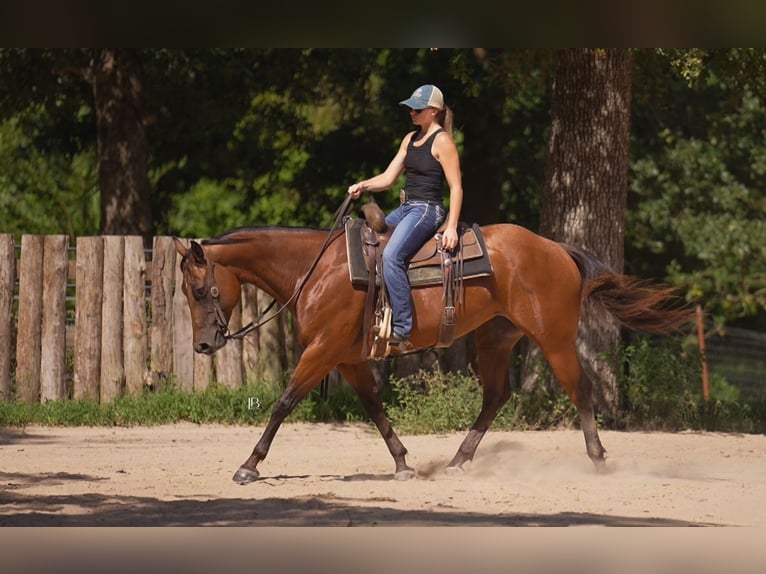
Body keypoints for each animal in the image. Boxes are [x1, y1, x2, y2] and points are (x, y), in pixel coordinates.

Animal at [174, 211, 694, 485]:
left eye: (200, 290)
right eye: (186, 292)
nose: (204, 344)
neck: (315, 269)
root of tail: (557, 249)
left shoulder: (321, 352)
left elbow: (283, 403)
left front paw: (248, 466)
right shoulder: (348, 358)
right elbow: (375, 408)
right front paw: (403, 463)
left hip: (555, 339)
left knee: (580, 390)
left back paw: (598, 458)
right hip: (495, 337)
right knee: (495, 396)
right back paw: (459, 461)